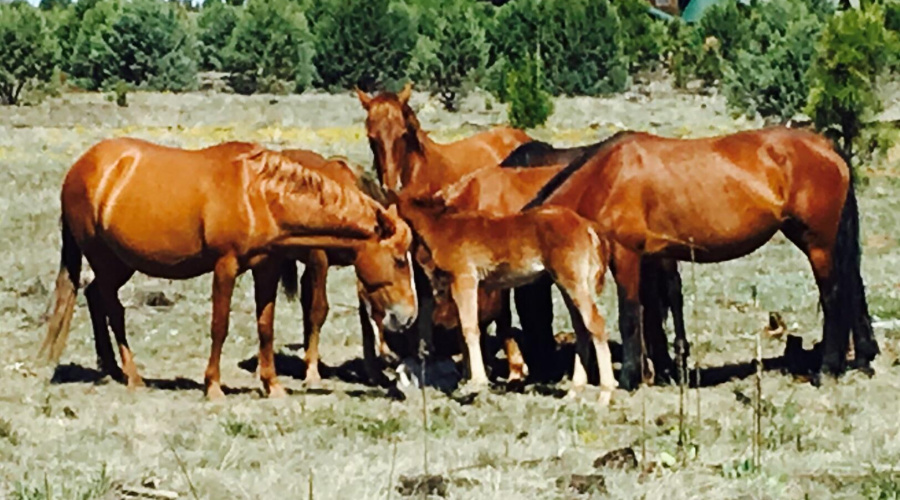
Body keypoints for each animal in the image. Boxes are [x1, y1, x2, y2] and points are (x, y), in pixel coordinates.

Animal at [39, 138, 417, 400]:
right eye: (399, 259)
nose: (408, 315)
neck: (258, 195)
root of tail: (81, 167)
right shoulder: (225, 267)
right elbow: (219, 325)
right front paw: (214, 387)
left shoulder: (266, 268)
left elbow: (266, 327)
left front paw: (272, 385)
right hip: (105, 259)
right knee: (112, 309)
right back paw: (132, 376)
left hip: (121, 262)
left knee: (94, 296)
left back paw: (109, 368)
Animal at [396, 193, 616, 398]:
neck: (443, 226)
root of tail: (587, 226)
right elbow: (463, 330)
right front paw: (467, 379)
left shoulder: (464, 279)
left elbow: (470, 329)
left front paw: (476, 382)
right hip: (571, 285)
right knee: (582, 328)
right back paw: (574, 390)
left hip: (573, 283)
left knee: (596, 324)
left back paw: (605, 394)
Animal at [524, 126, 879, 390]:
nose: (538, 373)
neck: (604, 177)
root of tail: (826, 145)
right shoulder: (651, 258)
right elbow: (654, 315)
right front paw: (662, 371)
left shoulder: (626, 255)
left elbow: (630, 316)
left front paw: (627, 379)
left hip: (818, 244)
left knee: (833, 298)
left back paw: (828, 370)